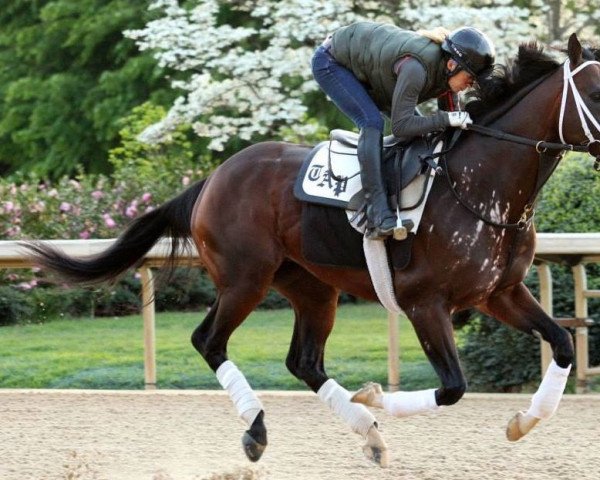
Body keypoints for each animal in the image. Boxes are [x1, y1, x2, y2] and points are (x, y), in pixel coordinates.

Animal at [25, 34, 600, 468]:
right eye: (596, 89)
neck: (479, 187)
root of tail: (213, 177)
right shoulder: (425, 303)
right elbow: (454, 386)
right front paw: (374, 395)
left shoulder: (498, 292)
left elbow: (562, 345)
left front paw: (523, 420)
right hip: (245, 279)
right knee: (209, 340)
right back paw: (259, 429)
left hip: (312, 288)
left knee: (303, 360)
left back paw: (368, 432)